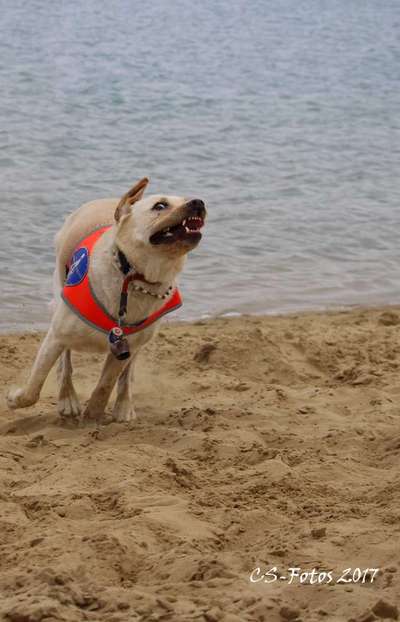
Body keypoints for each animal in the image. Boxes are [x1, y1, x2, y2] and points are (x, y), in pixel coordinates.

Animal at [6, 178, 206, 426]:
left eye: (188, 198)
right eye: (160, 206)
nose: (199, 202)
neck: (133, 276)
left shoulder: (125, 347)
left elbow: (105, 385)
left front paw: (93, 414)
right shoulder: (57, 335)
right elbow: (36, 386)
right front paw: (16, 399)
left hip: (141, 341)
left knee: (126, 377)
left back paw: (123, 406)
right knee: (65, 363)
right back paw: (68, 399)